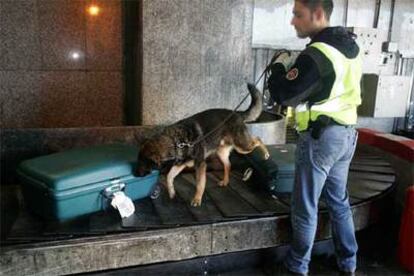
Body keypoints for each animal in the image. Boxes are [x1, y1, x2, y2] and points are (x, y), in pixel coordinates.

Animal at [136, 83, 270, 206]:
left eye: (143, 162)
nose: (136, 174)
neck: (175, 141)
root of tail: (236, 113)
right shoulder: (180, 164)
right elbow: (169, 176)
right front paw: (172, 192)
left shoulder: (200, 165)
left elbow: (200, 184)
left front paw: (197, 199)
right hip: (222, 152)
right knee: (228, 164)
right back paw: (225, 181)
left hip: (242, 146)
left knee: (258, 140)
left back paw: (266, 154)